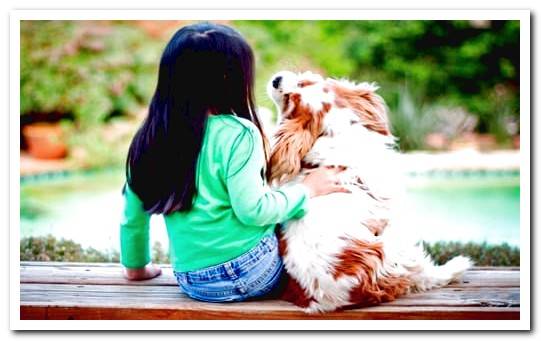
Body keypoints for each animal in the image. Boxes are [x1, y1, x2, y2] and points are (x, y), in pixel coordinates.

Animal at [268, 70, 470, 312]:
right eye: (290, 100)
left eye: (301, 85)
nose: (276, 80)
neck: (341, 133)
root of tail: (325, 299)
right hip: (397, 248)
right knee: (423, 275)